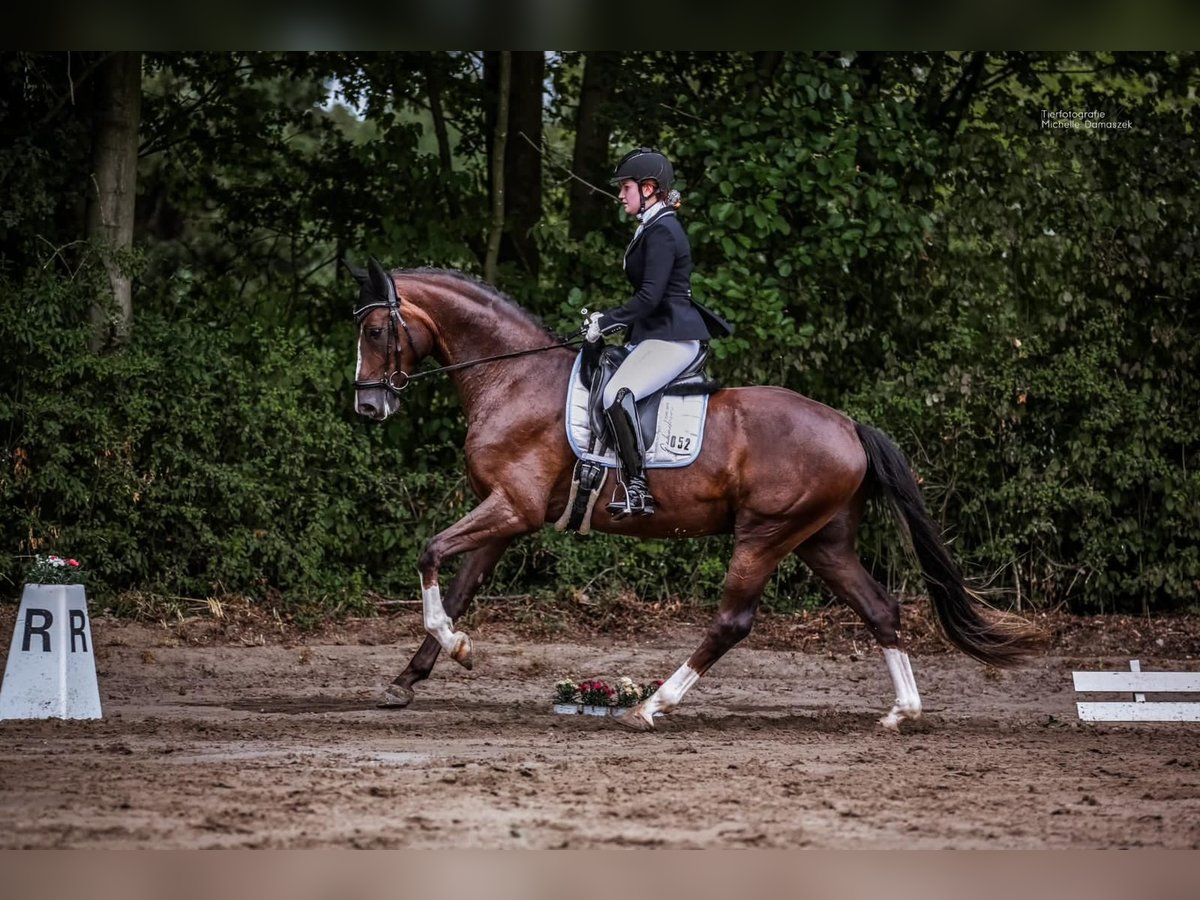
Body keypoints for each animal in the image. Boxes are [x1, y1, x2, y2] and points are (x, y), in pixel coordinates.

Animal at [350, 259, 1041, 734]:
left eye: (379, 329)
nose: (368, 406)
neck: (510, 376)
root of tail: (848, 425)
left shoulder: (510, 508)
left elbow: (430, 552)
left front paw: (449, 647)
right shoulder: (507, 515)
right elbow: (460, 586)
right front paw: (416, 674)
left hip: (765, 534)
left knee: (733, 621)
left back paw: (653, 705)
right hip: (822, 541)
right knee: (880, 609)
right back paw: (903, 712)